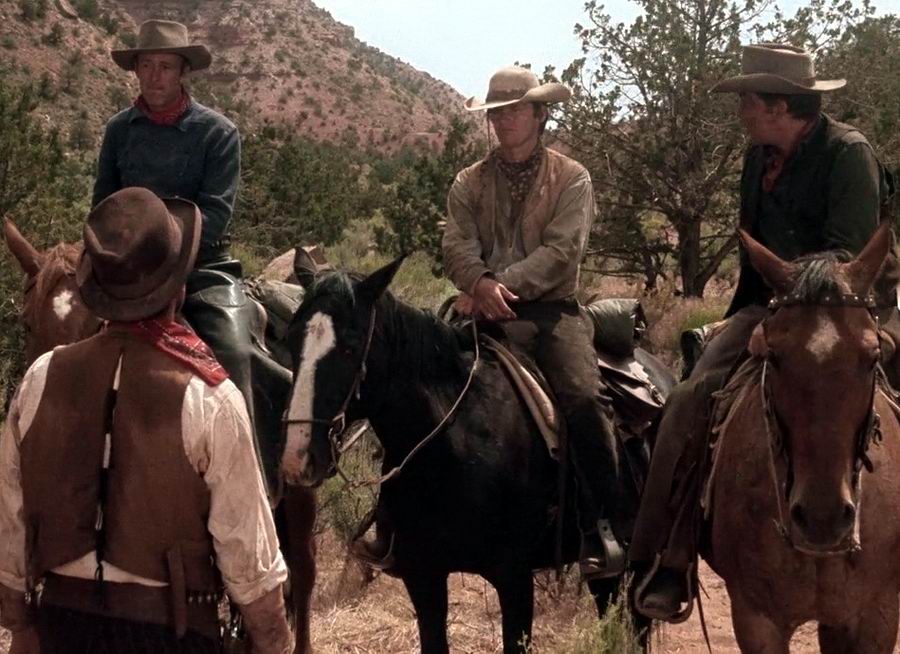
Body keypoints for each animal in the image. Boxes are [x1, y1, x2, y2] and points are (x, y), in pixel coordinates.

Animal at [280, 255, 675, 653]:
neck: (453, 446)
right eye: (290, 340)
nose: (298, 459)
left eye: (350, 345)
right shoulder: (423, 576)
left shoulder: (514, 578)